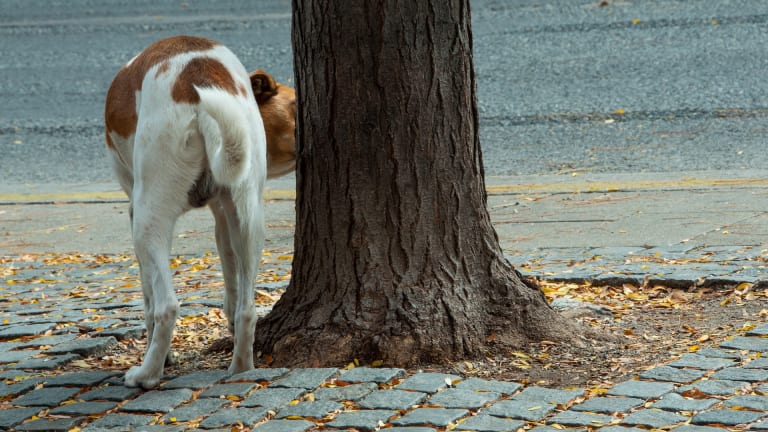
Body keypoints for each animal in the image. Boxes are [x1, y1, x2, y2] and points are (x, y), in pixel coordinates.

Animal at [102, 36, 294, 388]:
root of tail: (197, 79)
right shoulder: (224, 216)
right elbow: (232, 288)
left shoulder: (135, 211)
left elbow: (148, 300)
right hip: (250, 220)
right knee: (247, 309)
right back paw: (241, 367)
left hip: (148, 220)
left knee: (166, 306)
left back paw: (147, 374)